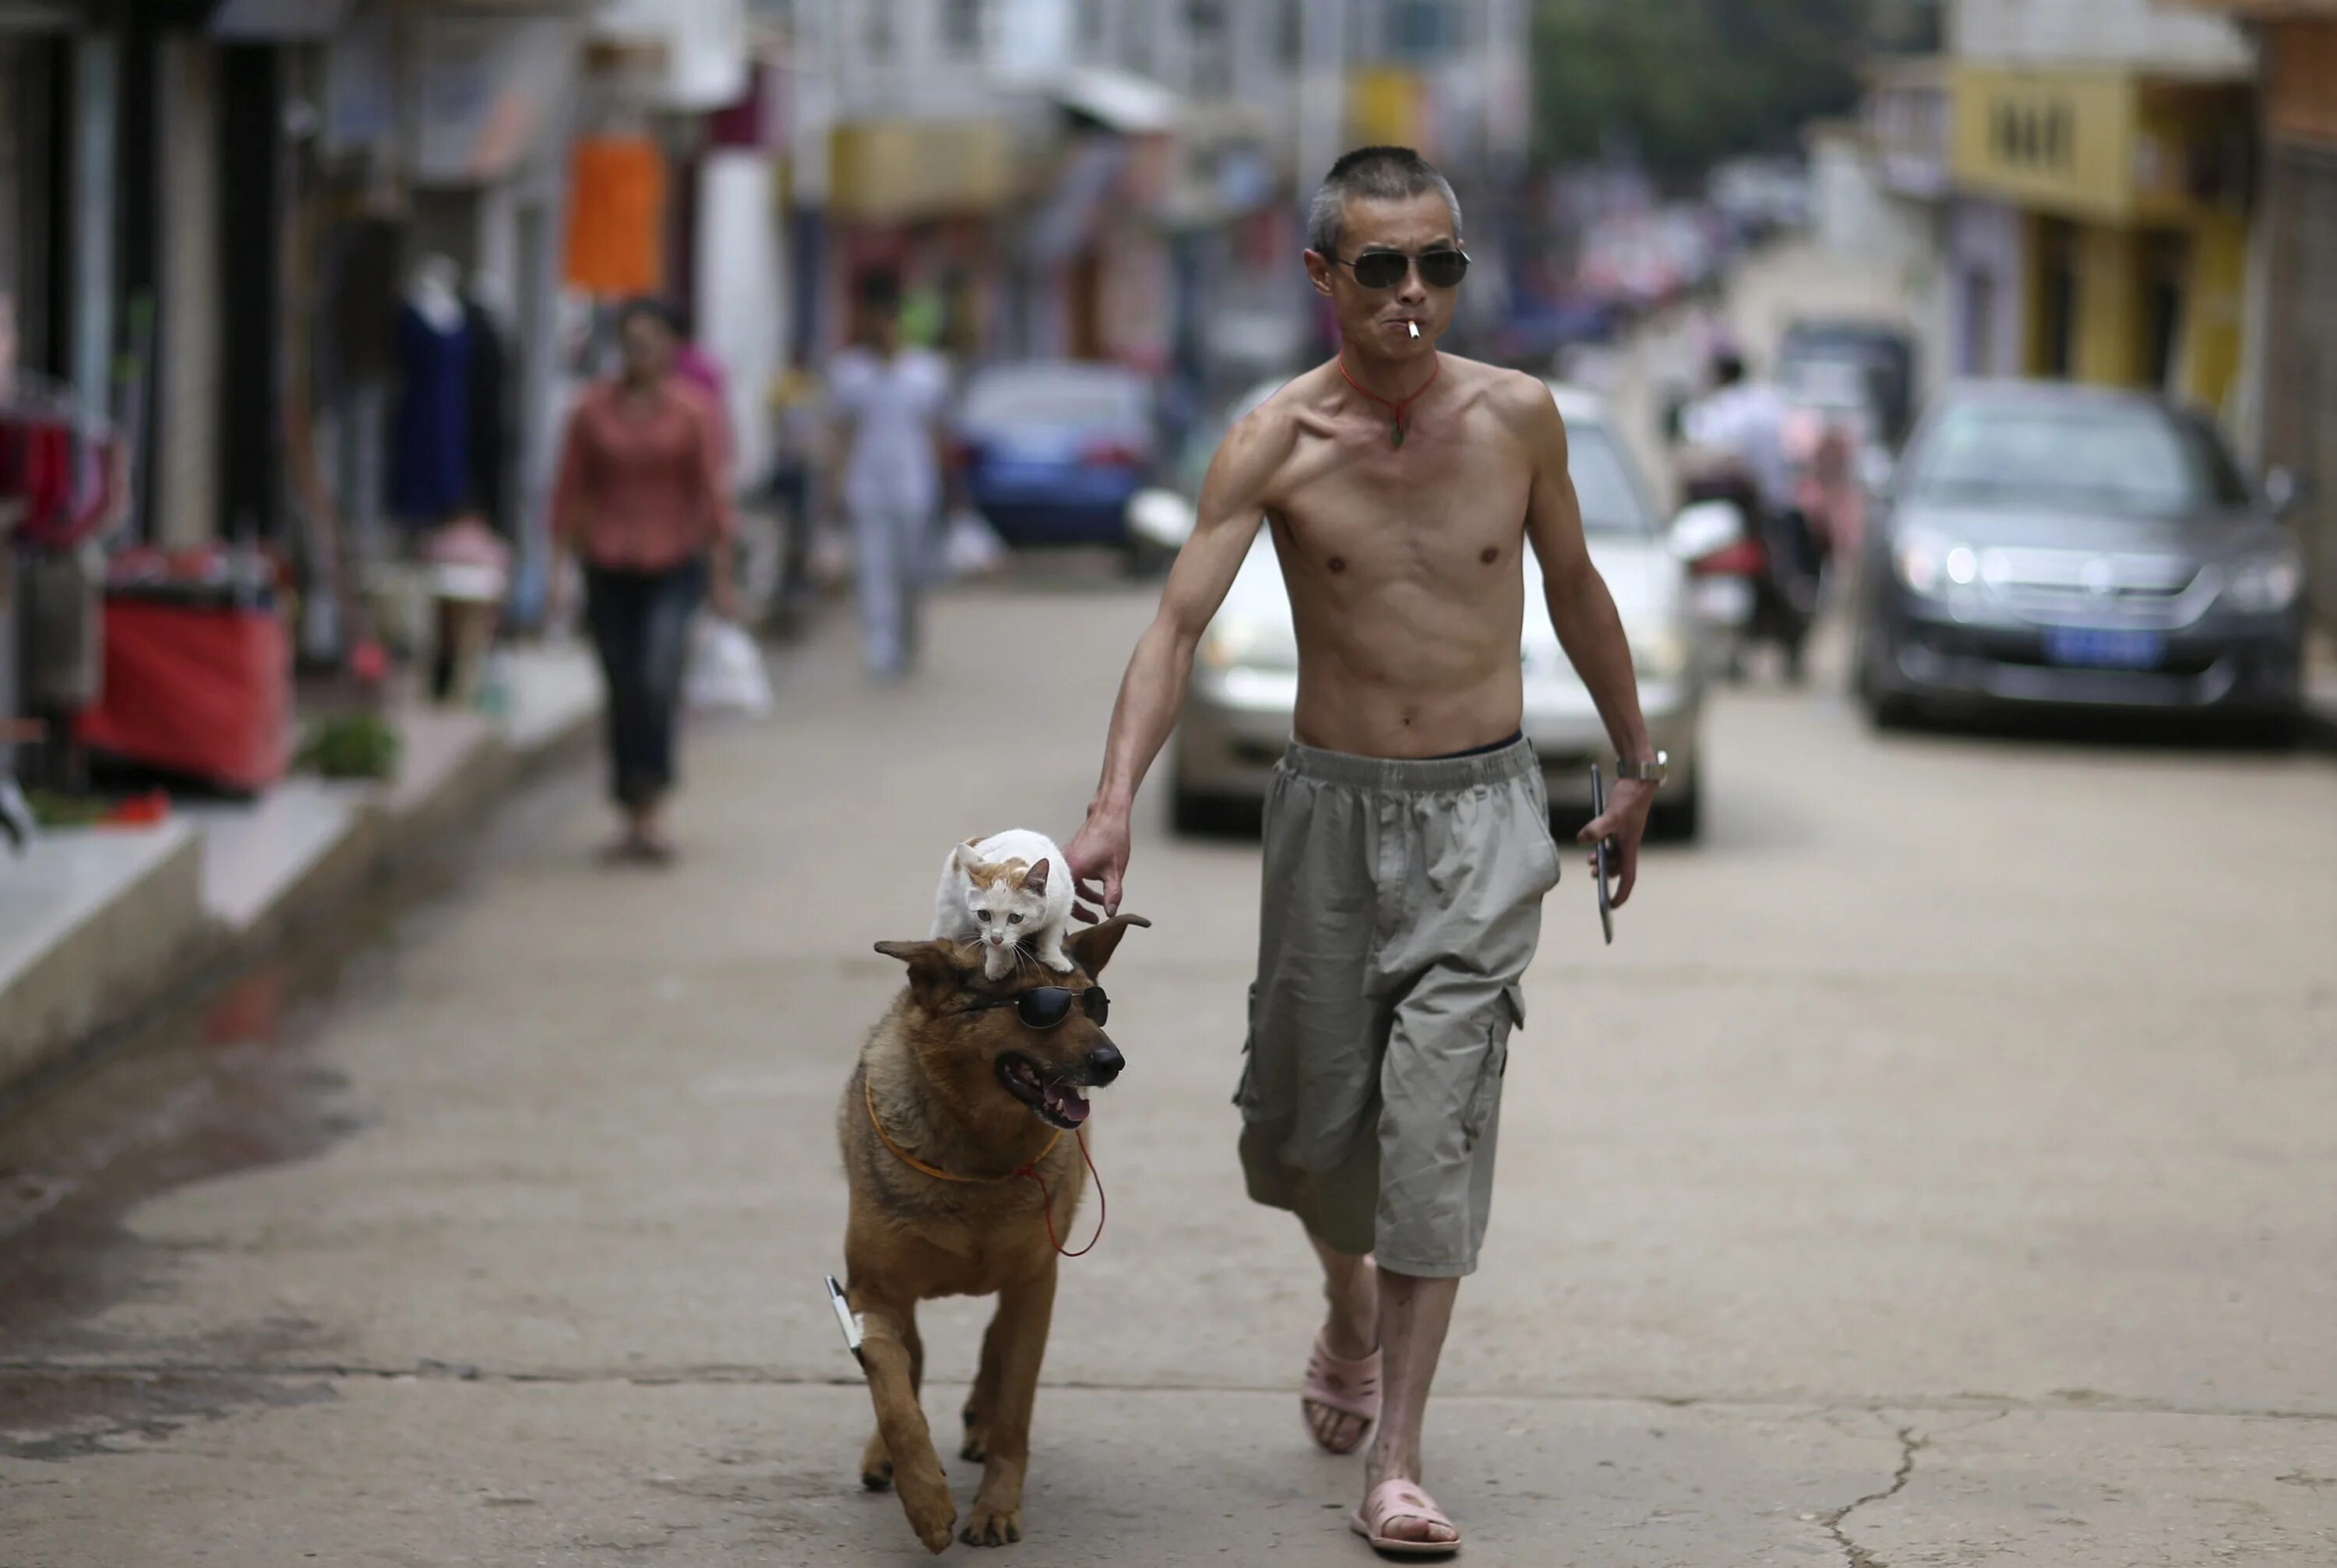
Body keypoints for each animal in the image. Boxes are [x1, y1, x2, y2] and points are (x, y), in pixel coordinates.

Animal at [846, 916, 1145, 1552]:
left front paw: (996, 1506)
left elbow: (1015, 1405)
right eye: (1040, 1008)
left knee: (996, 1342)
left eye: (1096, 1002)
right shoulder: (870, 1291)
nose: (1111, 1062)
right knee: (914, 1356)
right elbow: (893, 1391)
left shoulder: (1036, 1284)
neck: (980, 1156)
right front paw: (926, 1500)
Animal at [930, 832, 1075, 981]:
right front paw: (998, 964)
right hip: (951, 922)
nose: (996, 939)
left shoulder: (1064, 906)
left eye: (1015, 918)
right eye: (983, 915)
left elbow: (1051, 937)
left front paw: (1055, 958)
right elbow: (993, 945)